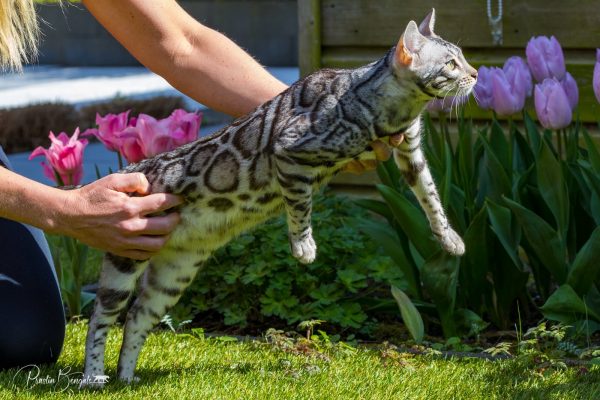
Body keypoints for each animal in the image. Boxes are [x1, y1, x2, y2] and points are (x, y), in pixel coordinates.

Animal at [82, 8, 476, 384]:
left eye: (463, 57)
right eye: (450, 64)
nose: (475, 75)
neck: (394, 111)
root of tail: (136, 166)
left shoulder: (412, 154)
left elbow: (431, 199)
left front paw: (450, 239)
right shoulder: (290, 152)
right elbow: (300, 205)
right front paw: (304, 247)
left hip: (174, 273)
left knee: (136, 317)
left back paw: (127, 377)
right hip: (125, 258)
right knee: (99, 319)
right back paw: (93, 378)